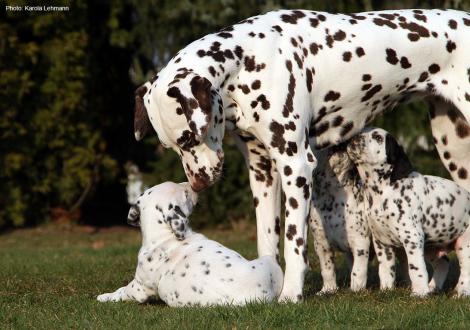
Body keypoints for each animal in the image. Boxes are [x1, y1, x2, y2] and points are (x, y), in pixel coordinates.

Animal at [96, 182, 282, 306]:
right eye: (185, 194)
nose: (193, 185)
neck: (163, 236)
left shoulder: (139, 287)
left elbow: (122, 290)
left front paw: (105, 296)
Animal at [346, 127, 470, 296]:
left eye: (378, 137)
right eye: (361, 132)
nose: (354, 138)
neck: (384, 191)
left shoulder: (412, 238)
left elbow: (415, 268)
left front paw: (419, 293)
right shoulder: (382, 243)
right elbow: (386, 270)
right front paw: (386, 290)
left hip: (464, 244)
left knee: (466, 269)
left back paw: (461, 292)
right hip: (431, 246)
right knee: (443, 263)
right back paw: (433, 287)